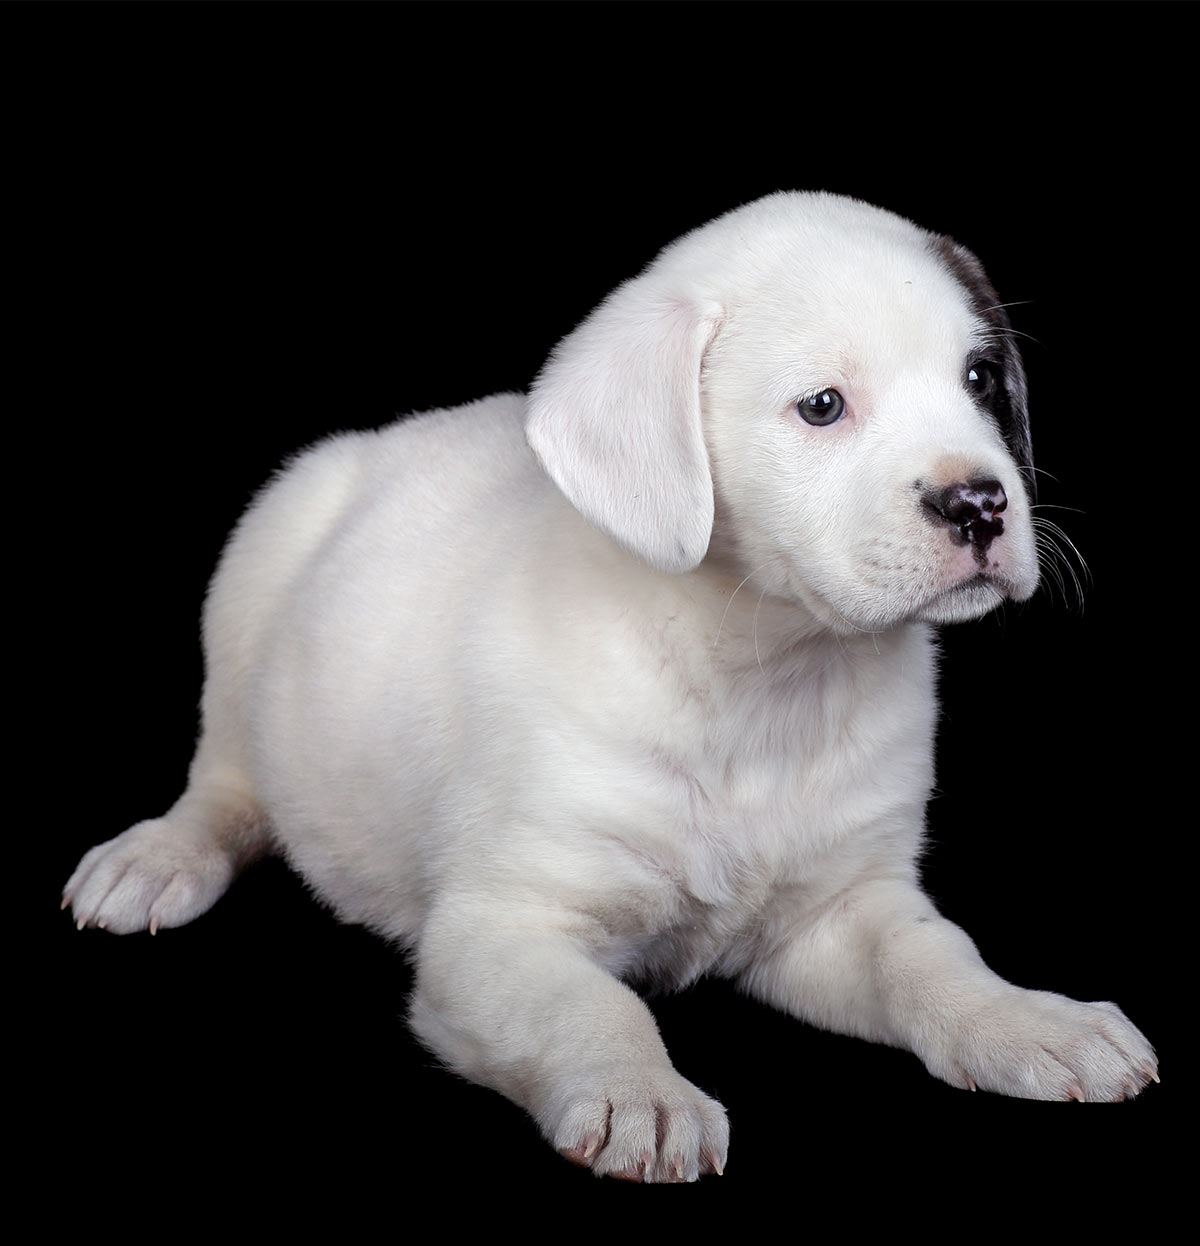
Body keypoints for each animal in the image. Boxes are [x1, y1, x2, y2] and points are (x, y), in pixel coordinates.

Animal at [63, 191, 1156, 1176]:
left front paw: (1027, 1019)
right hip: (256, 570)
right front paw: (639, 1094)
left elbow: (932, 958)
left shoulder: (842, 912)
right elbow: (593, 1005)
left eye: (980, 378)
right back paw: (162, 854)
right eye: (822, 407)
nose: (981, 503)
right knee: (225, 777)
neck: (767, 675)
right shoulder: (501, 931)